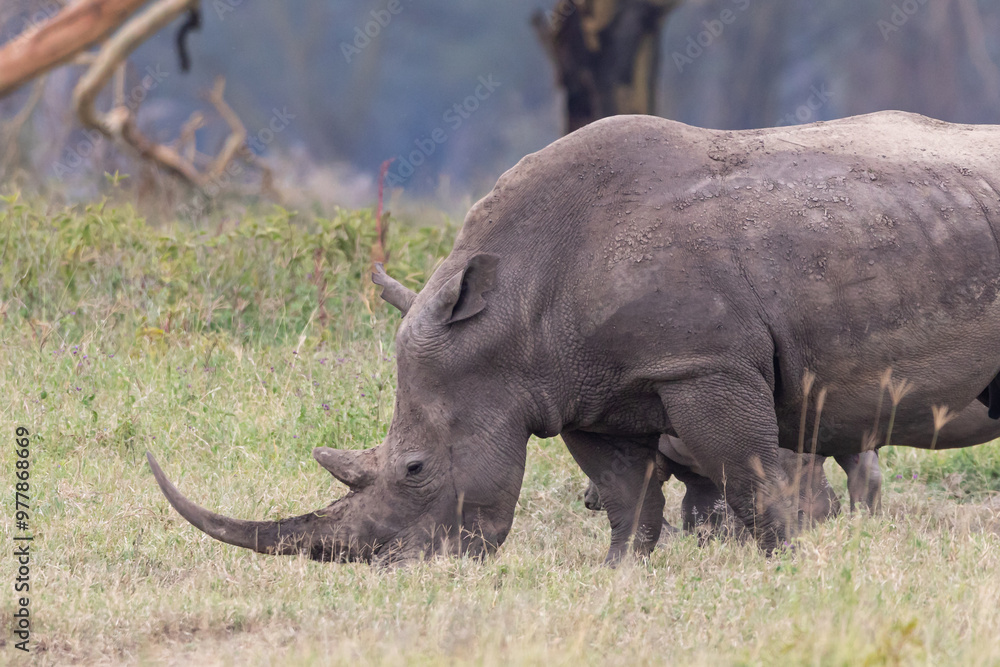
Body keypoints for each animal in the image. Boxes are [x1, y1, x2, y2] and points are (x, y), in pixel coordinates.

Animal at [150, 111, 1000, 563]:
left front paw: (785, 561)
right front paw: (624, 571)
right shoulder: (590, 387)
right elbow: (629, 495)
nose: (398, 565)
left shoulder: (705, 366)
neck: (515, 309)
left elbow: (755, 478)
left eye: (416, 468)